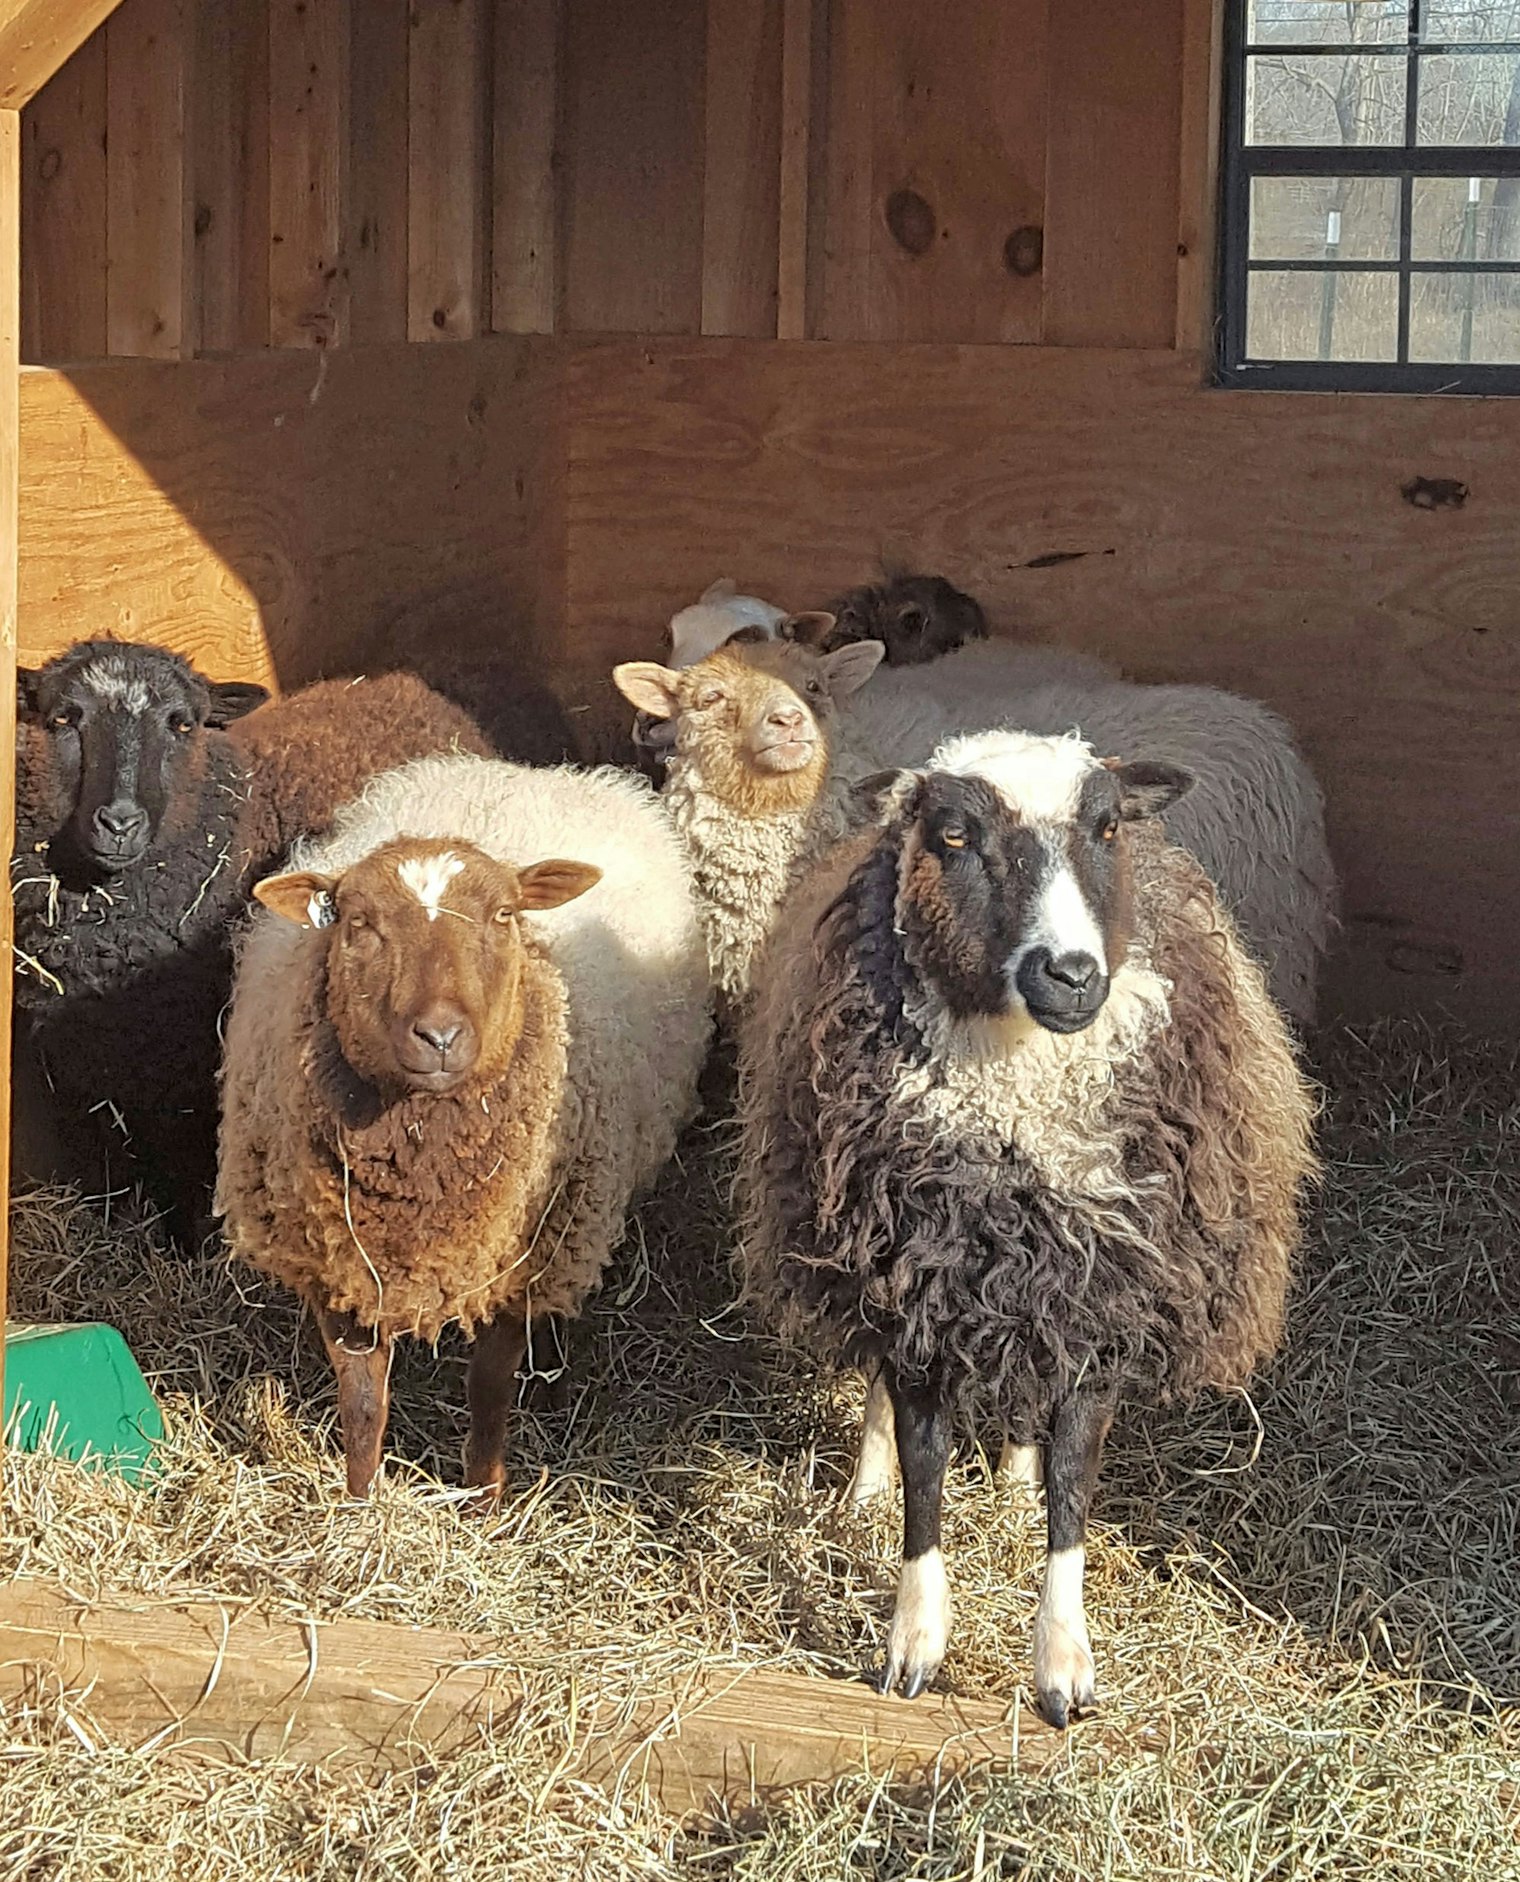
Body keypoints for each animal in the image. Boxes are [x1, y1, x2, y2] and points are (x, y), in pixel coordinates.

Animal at [12, 642, 493, 1246]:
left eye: (182, 723)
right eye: (63, 718)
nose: (119, 823)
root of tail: (407, 684)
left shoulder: (200, 1060)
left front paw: (190, 1246)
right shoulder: (78, 1064)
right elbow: (106, 1167)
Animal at [215, 753, 711, 1500]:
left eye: (504, 915)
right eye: (358, 924)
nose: (441, 1037)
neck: (422, 1175)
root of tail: (513, 770)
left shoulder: (515, 1266)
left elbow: (487, 1390)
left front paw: (484, 1497)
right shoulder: (339, 1264)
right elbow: (362, 1399)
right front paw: (360, 1499)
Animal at [736, 728, 1316, 1722]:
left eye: (1108, 826)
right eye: (954, 835)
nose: (1072, 974)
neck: (1018, 1094)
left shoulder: (1101, 1299)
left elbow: (1075, 1480)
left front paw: (1062, 1665)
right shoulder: (915, 1285)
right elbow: (925, 1472)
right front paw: (913, 1647)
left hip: (1035, 1294)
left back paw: (1013, 1475)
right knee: (882, 1396)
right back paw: (865, 1487)